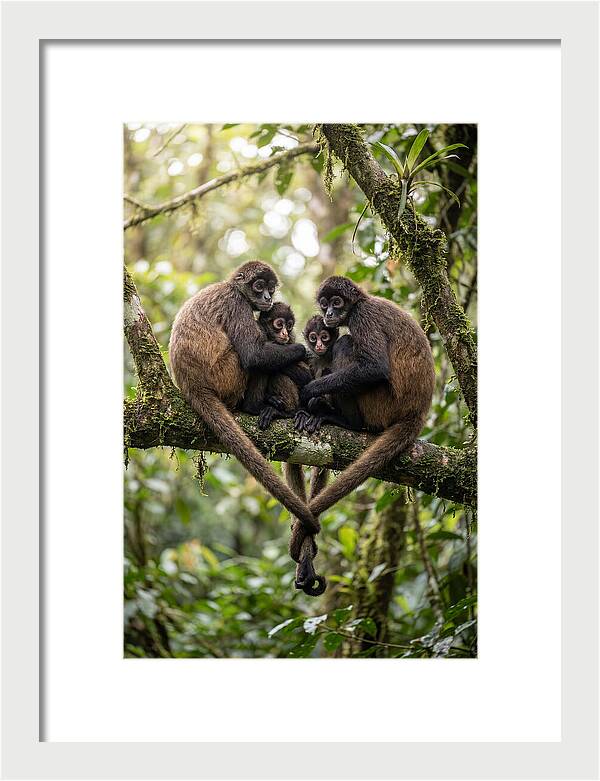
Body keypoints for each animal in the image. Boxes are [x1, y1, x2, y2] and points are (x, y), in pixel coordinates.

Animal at [168, 261, 319, 536]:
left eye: (271, 288)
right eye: (259, 286)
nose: (268, 297)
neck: (231, 287)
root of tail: (191, 385)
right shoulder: (236, 303)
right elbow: (253, 355)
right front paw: (302, 350)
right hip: (226, 375)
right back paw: (255, 406)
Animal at [298, 276, 435, 519]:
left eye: (337, 302)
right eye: (324, 304)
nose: (329, 314)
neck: (362, 301)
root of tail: (417, 413)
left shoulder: (362, 316)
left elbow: (375, 367)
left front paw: (310, 391)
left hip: (381, 404)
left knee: (345, 343)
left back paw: (346, 421)